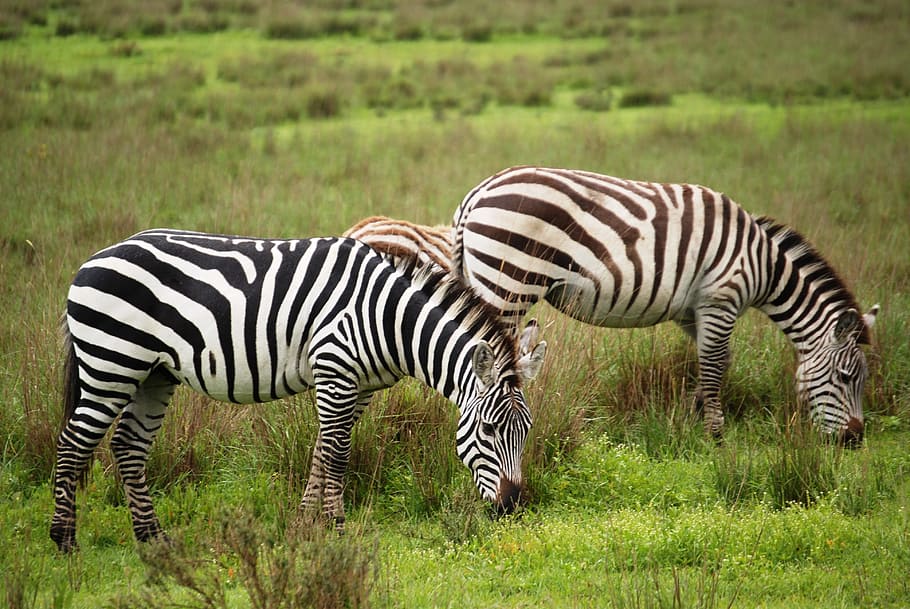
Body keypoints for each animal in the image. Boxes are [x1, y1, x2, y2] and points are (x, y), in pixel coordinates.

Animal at [51, 229, 546, 552]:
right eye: (488, 429)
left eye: (526, 431)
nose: (511, 508)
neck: (386, 318)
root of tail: (92, 259)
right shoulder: (334, 369)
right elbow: (338, 453)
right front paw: (337, 527)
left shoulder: (359, 386)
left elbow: (322, 451)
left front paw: (308, 523)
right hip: (111, 362)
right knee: (73, 443)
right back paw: (64, 539)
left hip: (153, 373)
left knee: (128, 445)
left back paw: (153, 539)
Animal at [451, 166, 878, 444]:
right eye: (846, 377)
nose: (855, 439)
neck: (764, 263)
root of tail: (477, 194)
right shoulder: (720, 300)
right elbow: (714, 366)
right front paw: (715, 434)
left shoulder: (693, 312)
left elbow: (714, 363)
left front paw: (694, 413)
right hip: (507, 282)